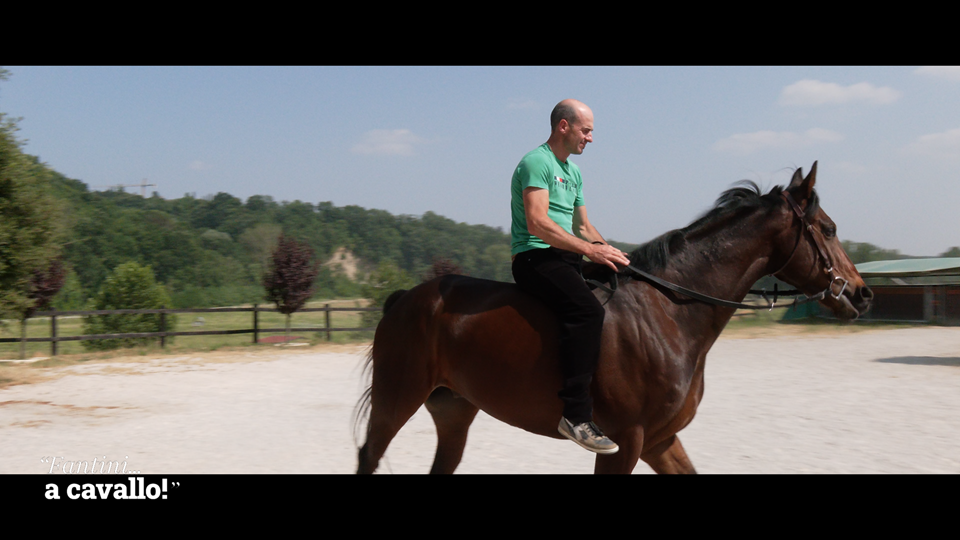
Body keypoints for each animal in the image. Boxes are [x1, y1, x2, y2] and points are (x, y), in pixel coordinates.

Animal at [355, 162, 873, 474]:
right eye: (828, 229)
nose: (862, 295)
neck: (669, 314)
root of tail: (408, 299)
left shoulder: (661, 441)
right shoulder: (626, 441)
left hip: (454, 410)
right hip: (396, 400)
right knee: (369, 454)